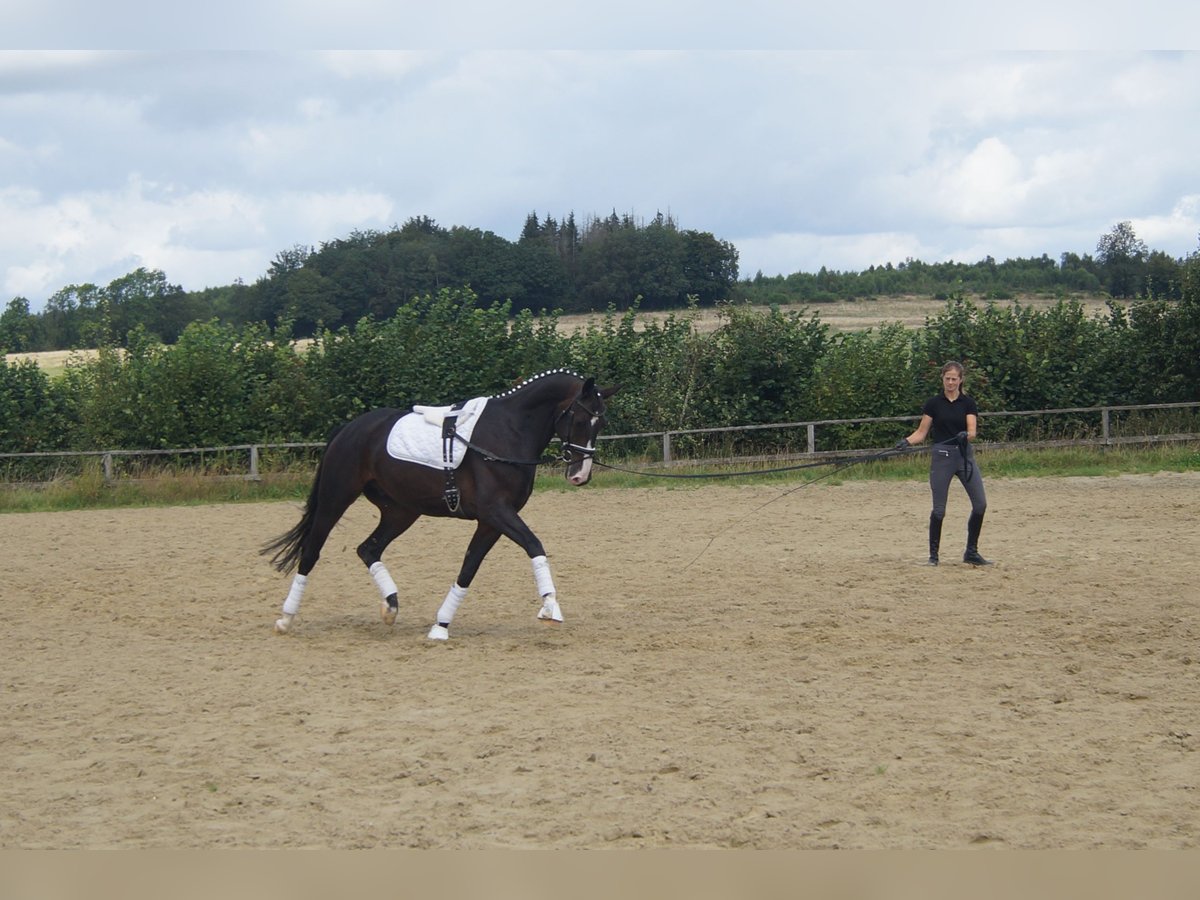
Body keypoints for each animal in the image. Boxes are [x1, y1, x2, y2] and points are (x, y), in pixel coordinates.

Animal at [262, 367, 619, 643]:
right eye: (580, 419)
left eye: (600, 424)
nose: (580, 475)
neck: (507, 432)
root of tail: (348, 429)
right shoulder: (496, 512)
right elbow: (534, 545)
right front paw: (550, 607)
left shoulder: (491, 522)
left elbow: (468, 568)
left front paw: (440, 627)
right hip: (336, 498)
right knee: (312, 552)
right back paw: (285, 619)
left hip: (401, 511)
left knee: (368, 549)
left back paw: (390, 608)